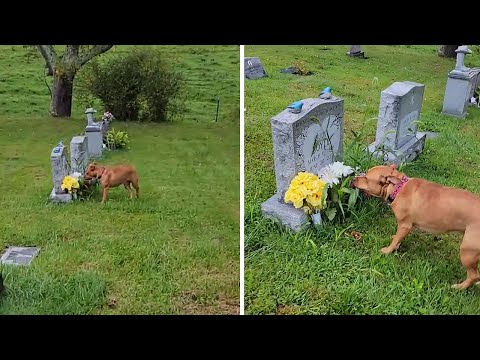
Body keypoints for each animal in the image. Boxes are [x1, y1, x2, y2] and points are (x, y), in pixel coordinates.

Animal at [350, 164, 480, 290]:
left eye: (366, 177)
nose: (352, 179)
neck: (398, 188)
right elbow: (398, 238)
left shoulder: (404, 225)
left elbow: (395, 240)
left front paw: (388, 250)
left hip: (467, 252)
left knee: (474, 276)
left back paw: (459, 287)